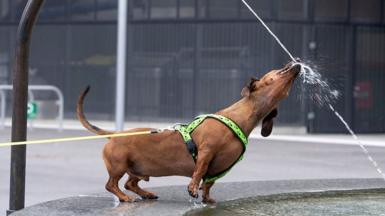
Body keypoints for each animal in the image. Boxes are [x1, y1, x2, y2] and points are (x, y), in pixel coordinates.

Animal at [76, 60, 300, 202]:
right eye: (277, 70)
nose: (296, 62)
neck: (238, 119)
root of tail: (115, 134)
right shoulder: (207, 151)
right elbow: (199, 170)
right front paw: (193, 188)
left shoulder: (219, 169)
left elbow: (209, 183)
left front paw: (207, 198)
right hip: (119, 165)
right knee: (112, 185)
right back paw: (125, 198)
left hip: (140, 168)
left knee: (130, 183)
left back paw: (146, 194)